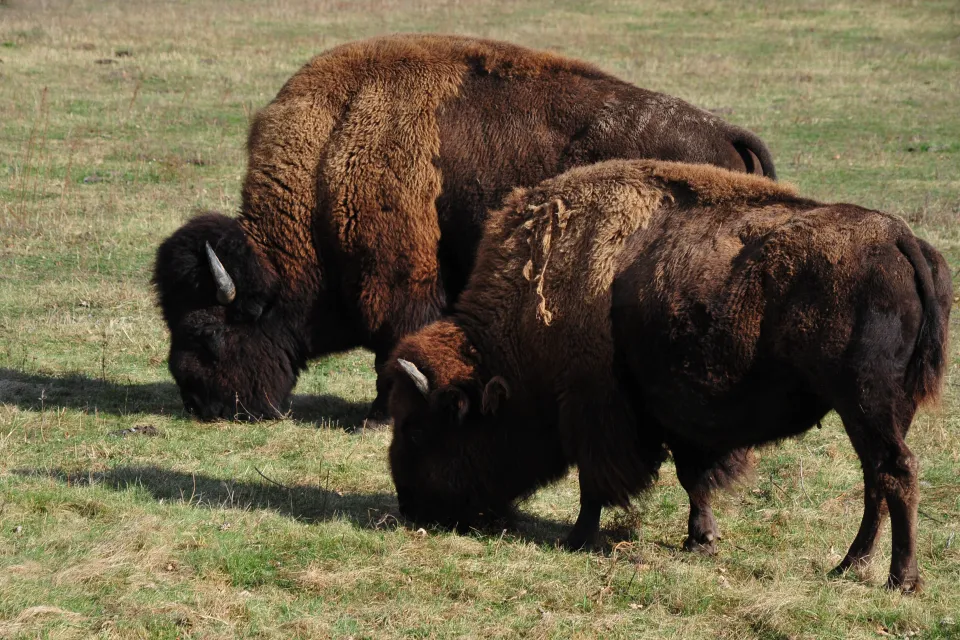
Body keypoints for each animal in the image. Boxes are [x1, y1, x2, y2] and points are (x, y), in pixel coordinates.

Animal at [153, 34, 777, 422]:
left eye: (207, 333)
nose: (198, 404)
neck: (333, 148)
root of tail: (726, 133)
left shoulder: (398, 280)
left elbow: (394, 346)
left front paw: (378, 416)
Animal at [387, 160, 951, 592]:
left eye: (417, 429)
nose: (410, 506)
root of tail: (900, 238)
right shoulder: (676, 415)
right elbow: (693, 479)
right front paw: (701, 540)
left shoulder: (595, 410)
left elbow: (595, 481)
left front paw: (578, 538)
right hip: (881, 409)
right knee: (877, 480)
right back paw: (850, 566)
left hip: (864, 402)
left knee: (896, 472)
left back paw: (899, 579)